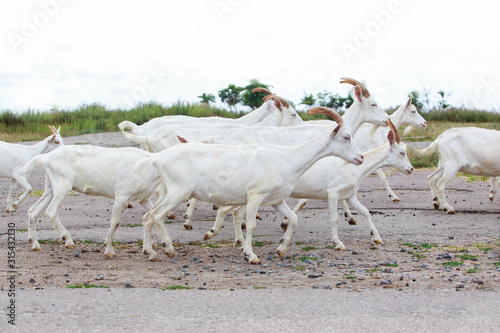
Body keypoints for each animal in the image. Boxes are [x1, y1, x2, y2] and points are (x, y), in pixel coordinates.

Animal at [16, 144, 159, 255]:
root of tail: (44, 157)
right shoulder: (122, 196)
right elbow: (115, 222)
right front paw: (109, 250)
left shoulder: (143, 199)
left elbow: (153, 215)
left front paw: (153, 244)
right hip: (63, 185)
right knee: (51, 212)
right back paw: (68, 240)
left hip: (50, 187)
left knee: (34, 211)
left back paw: (35, 244)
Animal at [141, 107, 364, 264]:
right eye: (346, 137)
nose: (361, 157)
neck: (287, 158)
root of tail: (158, 158)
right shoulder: (256, 195)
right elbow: (251, 225)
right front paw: (251, 255)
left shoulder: (276, 199)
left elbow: (293, 219)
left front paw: (281, 249)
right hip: (178, 192)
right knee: (157, 215)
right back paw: (168, 249)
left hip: (168, 191)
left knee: (147, 216)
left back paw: (150, 252)